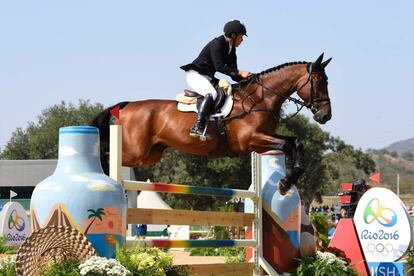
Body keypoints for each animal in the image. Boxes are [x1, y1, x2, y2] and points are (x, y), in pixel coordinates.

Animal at [91, 52, 334, 193]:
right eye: (320, 81)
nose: (325, 116)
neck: (259, 99)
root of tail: (127, 105)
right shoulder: (251, 141)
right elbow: (286, 144)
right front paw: (285, 181)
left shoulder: (263, 138)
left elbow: (295, 142)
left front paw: (289, 180)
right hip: (136, 150)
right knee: (107, 152)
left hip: (150, 154)